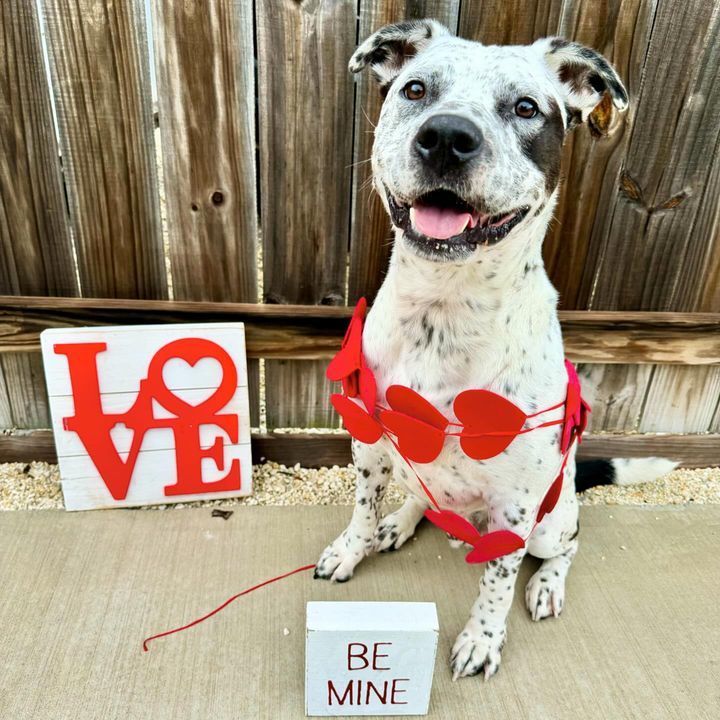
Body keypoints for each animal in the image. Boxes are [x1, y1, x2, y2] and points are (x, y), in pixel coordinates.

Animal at [314, 18, 676, 680]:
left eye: (527, 107)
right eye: (415, 89)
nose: (446, 137)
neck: (443, 310)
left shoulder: (515, 504)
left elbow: (498, 581)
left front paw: (482, 638)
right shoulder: (370, 445)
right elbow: (363, 506)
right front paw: (354, 547)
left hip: (550, 520)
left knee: (566, 546)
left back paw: (547, 584)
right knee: (421, 499)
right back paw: (401, 523)